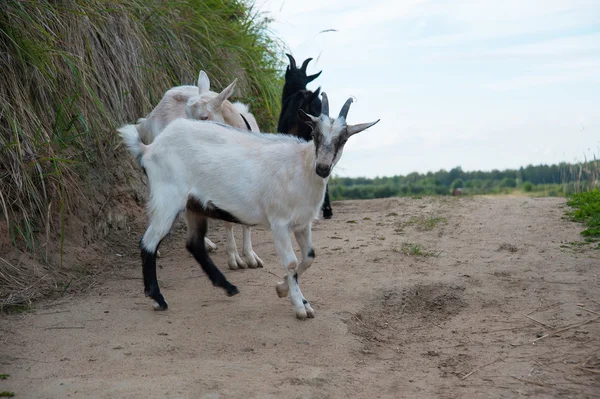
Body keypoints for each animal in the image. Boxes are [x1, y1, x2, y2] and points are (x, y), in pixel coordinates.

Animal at [119, 93, 378, 318]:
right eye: (315, 134)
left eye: (343, 139)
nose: (323, 168)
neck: (301, 166)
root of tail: (149, 148)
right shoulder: (279, 223)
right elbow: (292, 262)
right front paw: (299, 306)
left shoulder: (302, 224)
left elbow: (309, 257)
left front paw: (284, 289)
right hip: (168, 198)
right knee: (148, 242)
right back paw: (158, 299)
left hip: (194, 205)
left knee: (194, 244)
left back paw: (227, 287)